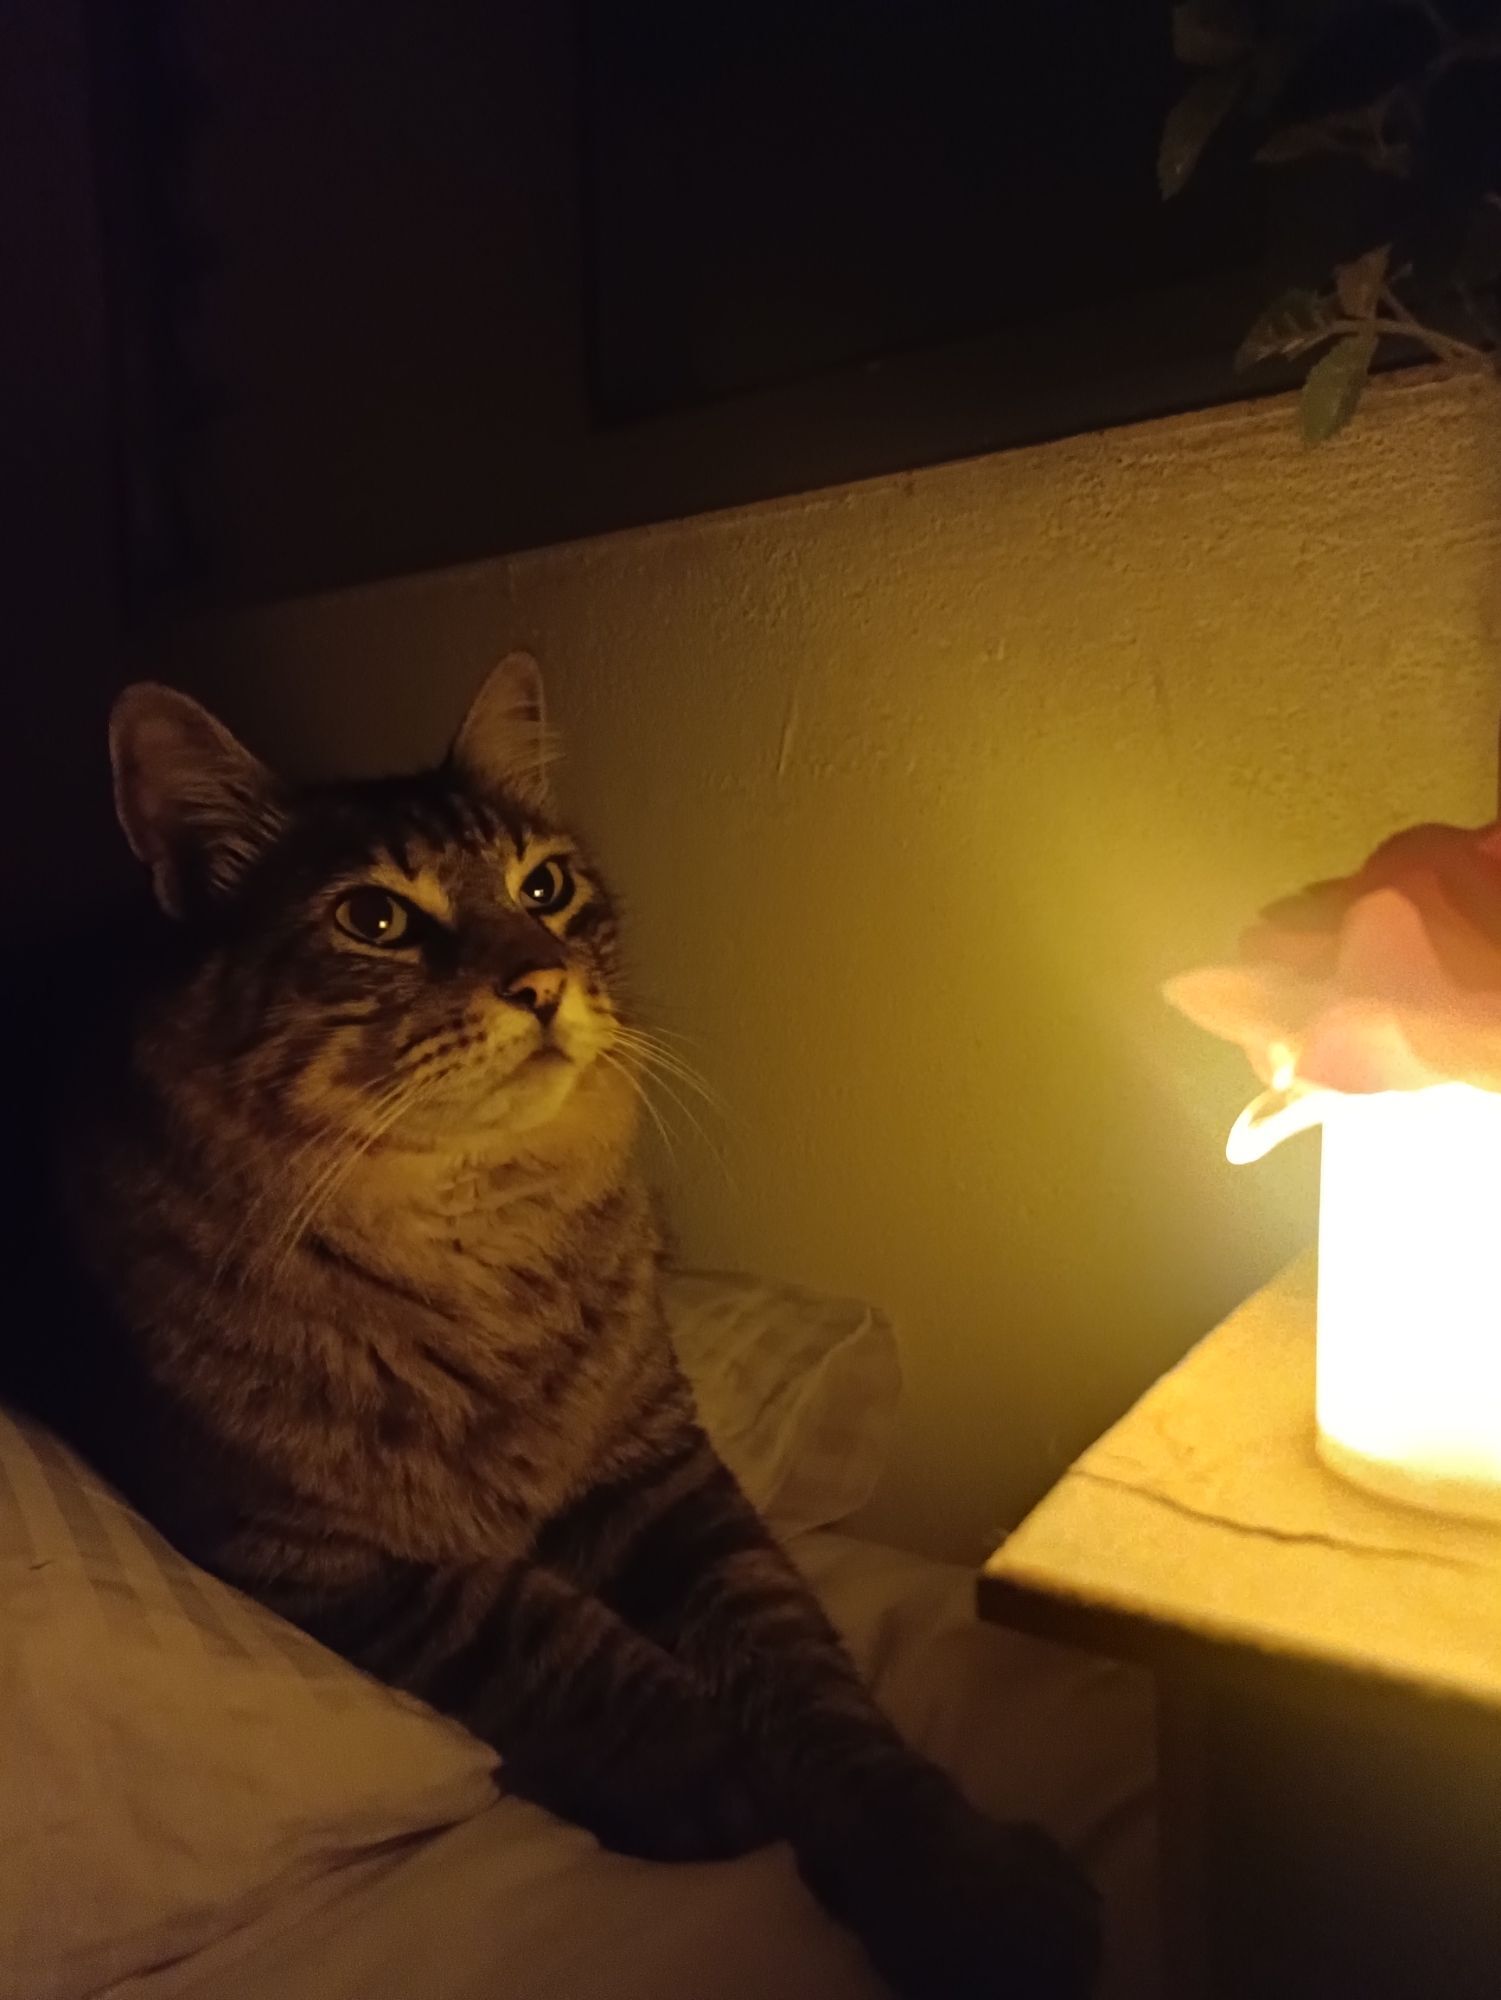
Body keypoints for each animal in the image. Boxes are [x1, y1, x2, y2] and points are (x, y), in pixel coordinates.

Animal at [41, 652, 1100, 2000]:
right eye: (375, 919)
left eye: (545, 888)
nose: (542, 981)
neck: (476, 1241)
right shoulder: (320, 1549)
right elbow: (545, 1628)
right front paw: (701, 1760)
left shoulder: (662, 1474)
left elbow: (810, 1680)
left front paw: (955, 1876)